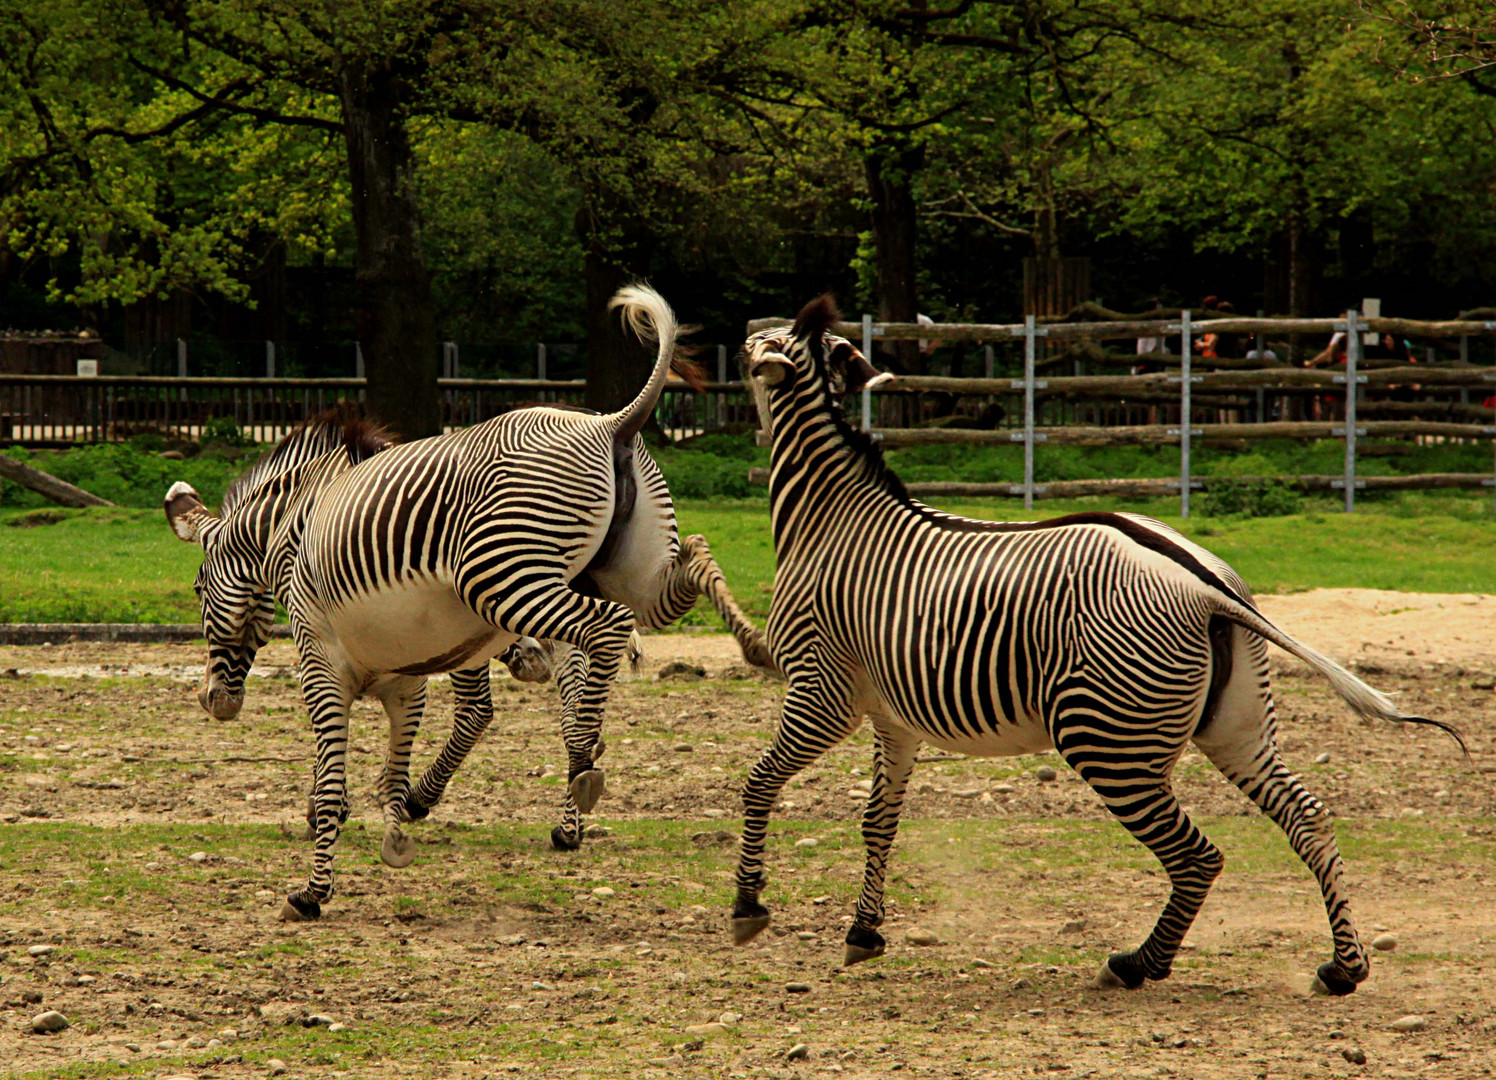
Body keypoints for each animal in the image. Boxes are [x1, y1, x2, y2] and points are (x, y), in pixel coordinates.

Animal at [730, 294, 1466, 993]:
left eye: (749, 357)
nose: (742, 335)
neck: (829, 521)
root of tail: (1208, 588)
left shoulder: (822, 693)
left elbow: (759, 780)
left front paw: (748, 908)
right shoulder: (894, 716)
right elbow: (879, 818)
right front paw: (864, 930)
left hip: (1107, 741)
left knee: (1197, 856)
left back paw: (1138, 965)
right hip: (1236, 726)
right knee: (1307, 817)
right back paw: (1343, 967)